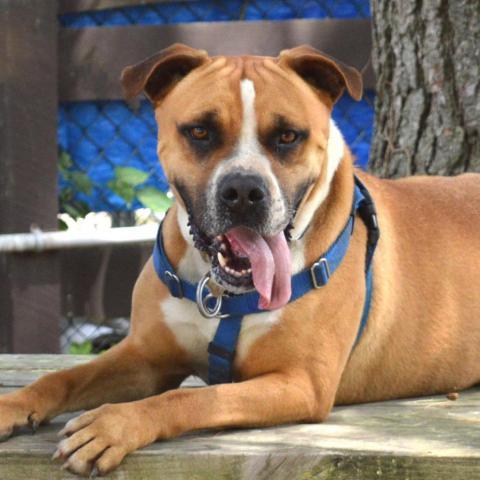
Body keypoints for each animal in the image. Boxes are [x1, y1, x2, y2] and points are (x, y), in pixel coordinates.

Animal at [0, 44, 480, 476]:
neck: (219, 291)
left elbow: (193, 397)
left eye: (288, 136)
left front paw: (115, 423)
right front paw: (14, 405)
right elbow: (62, 378)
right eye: (199, 131)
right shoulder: (145, 357)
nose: (245, 190)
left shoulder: (299, 382)